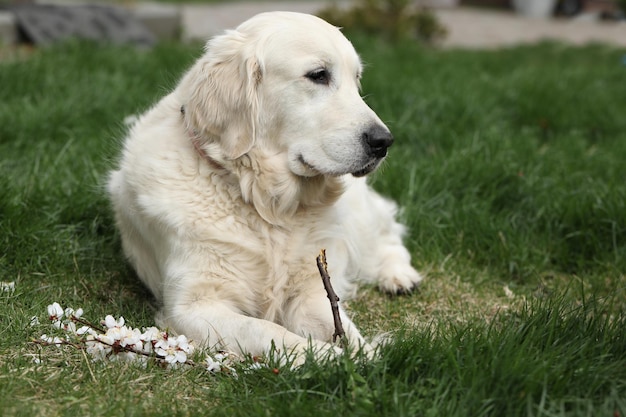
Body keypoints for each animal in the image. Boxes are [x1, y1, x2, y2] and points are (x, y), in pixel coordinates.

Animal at [107, 10, 422, 360]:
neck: (266, 205)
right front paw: (330, 358)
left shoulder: (313, 290)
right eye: (318, 75)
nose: (384, 142)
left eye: (357, 81)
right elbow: (267, 330)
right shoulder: (193, 305)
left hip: (357, 214)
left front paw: (366, 358)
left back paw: (399, 275)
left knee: (385, 231)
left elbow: (347, 330)